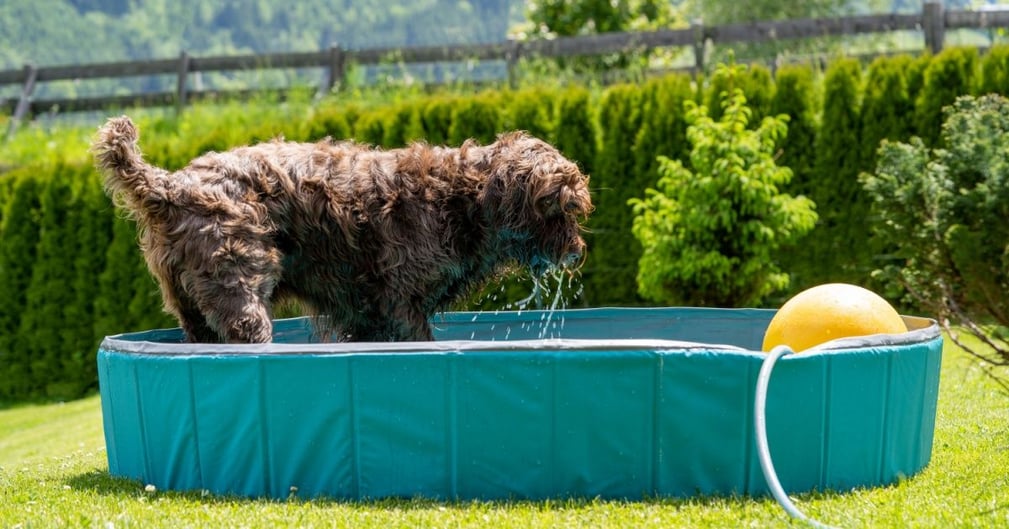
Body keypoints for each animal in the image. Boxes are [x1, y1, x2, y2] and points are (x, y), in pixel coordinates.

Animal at [92, 116, 589, 343]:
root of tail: (171, 185)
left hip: (188, 303)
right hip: (237, 281)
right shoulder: (401, 304)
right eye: (559, 208)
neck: (461, 199)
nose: (577, 252)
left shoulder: (367, 315)